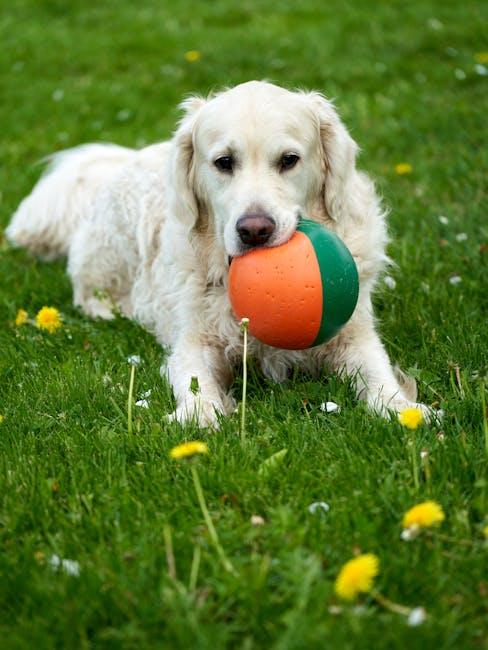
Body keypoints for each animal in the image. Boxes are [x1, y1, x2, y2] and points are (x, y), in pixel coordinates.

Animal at [5, 79, 428, 426]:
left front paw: (401, 409)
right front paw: (201, 413)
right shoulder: (194, 342)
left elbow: (377, 372)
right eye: (224, 162)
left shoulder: (353, 336)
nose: (255, 230)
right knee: (90, 292)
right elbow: (195, 381)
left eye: (289, 160)